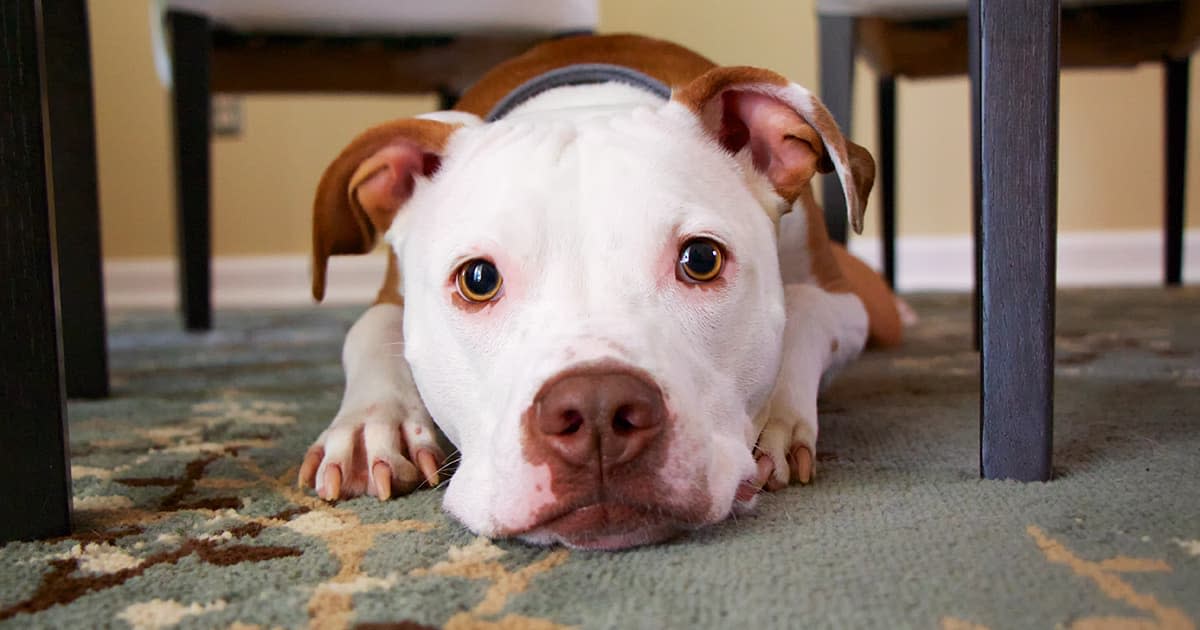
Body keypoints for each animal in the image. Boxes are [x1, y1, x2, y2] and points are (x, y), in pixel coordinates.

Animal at [297, 33, 902, 549]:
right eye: (478, 279)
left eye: (701, 259)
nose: (596, 410)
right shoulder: (389, 299)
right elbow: (368, 329)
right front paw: (372, 426)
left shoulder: (844, 302)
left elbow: (803, 308)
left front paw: (777, 417)